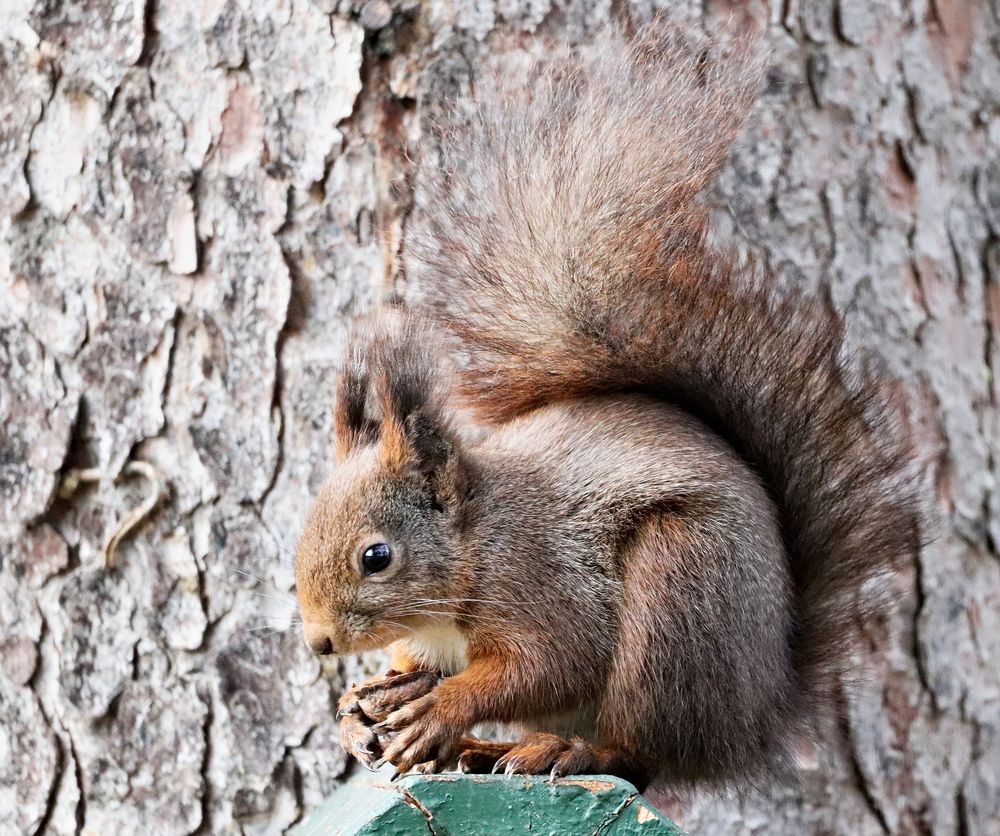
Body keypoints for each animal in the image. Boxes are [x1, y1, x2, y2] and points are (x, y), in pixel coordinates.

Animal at [294, 26, 920, 791]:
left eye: (377, 556)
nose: (320, 642)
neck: (477, 540)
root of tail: (755, 714)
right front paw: (369, 703)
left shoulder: (543, 585)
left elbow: (549, 663)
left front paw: (441, 709)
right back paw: (494, 750)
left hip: (679, 600)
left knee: (639, 752)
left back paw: (567, 752)